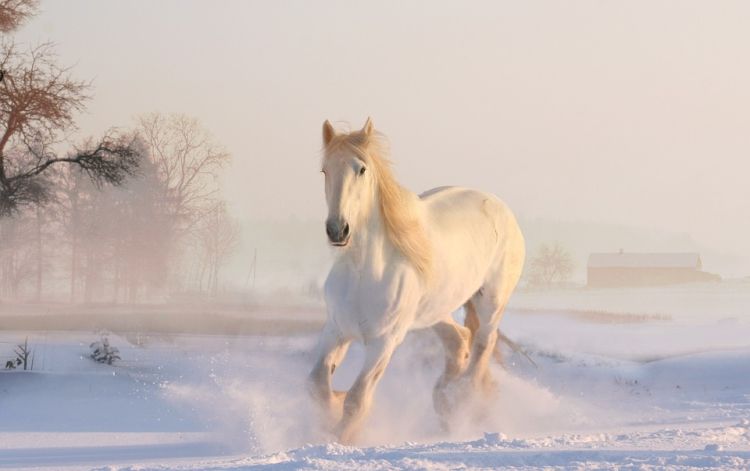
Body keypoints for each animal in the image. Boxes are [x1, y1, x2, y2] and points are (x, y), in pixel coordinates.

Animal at [308, 117, 524, 442]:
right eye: (325, 170)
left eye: (361, 169)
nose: (337, 230)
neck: (363, 273)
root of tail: (500, 206)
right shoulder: (336, 329)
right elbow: (318, 385)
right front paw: (332, 411)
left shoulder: (384, 342)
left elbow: (357, 399)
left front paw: (341, 437)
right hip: (435, 311)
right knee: (459, 340)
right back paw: (445, 401)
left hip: (491, 302)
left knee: (483, 345)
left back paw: (462, 401)